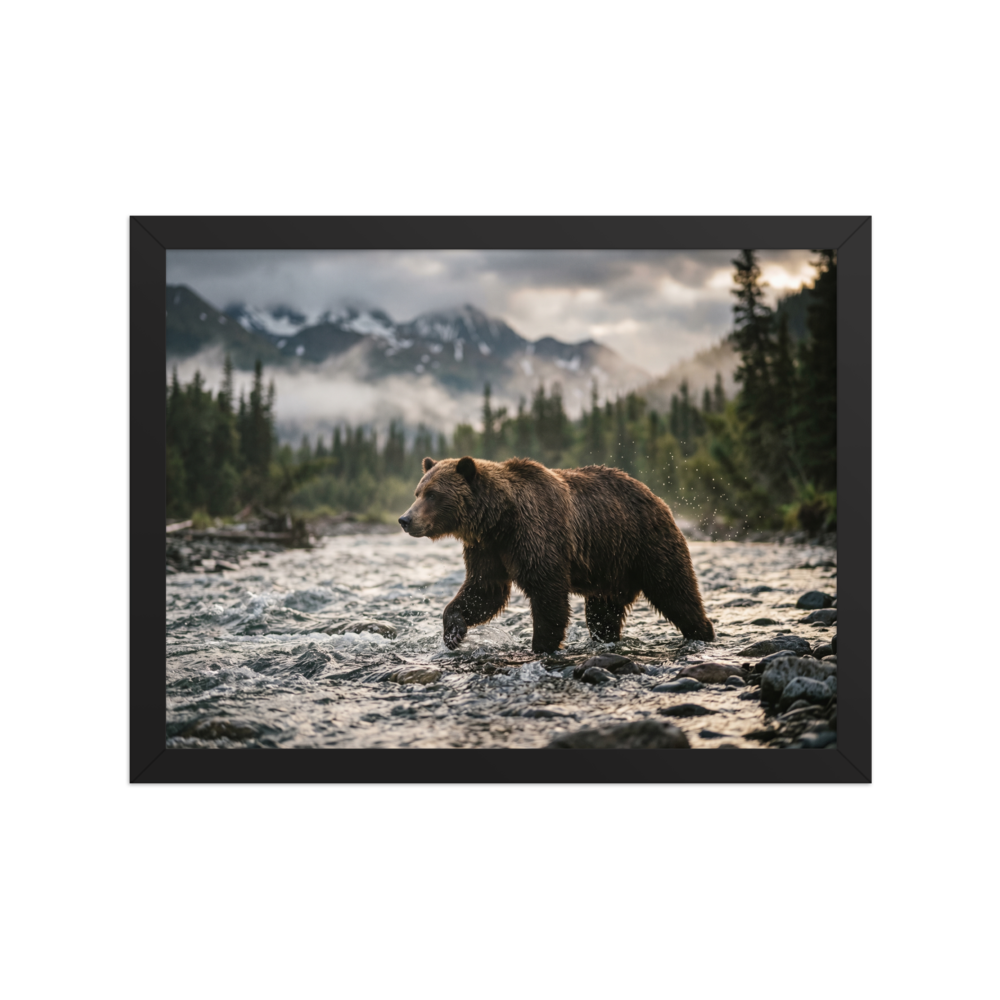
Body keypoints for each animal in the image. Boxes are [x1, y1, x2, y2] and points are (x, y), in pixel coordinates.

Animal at [398, 455, 715, 653]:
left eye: (433, 494)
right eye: (418, 492)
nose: (405, 519)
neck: (499, 521)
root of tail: (656, 497)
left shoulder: (536, 535)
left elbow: (547, 593)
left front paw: (542, 646)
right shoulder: (487, 549)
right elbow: (484, 590)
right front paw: (453, 632)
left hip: (645, 545)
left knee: (676, 592)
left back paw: (703, 634)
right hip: (609, 571)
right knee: (602, 615)